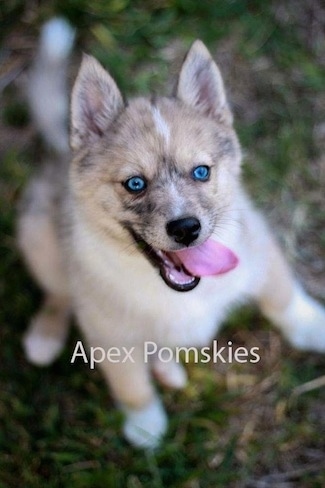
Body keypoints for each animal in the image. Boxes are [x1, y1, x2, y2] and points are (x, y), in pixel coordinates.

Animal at [18, 18, 324, 446]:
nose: (186, 229)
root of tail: (59, 154)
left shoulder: (259, 248)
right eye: (135, 184)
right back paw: (45, 338)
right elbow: (130, 383)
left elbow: (283, 298)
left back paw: (167, 366)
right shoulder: (108, 332)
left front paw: (313, 327)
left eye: (201, 171)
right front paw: (145, 425)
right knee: (58, 293)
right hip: (38, 241)